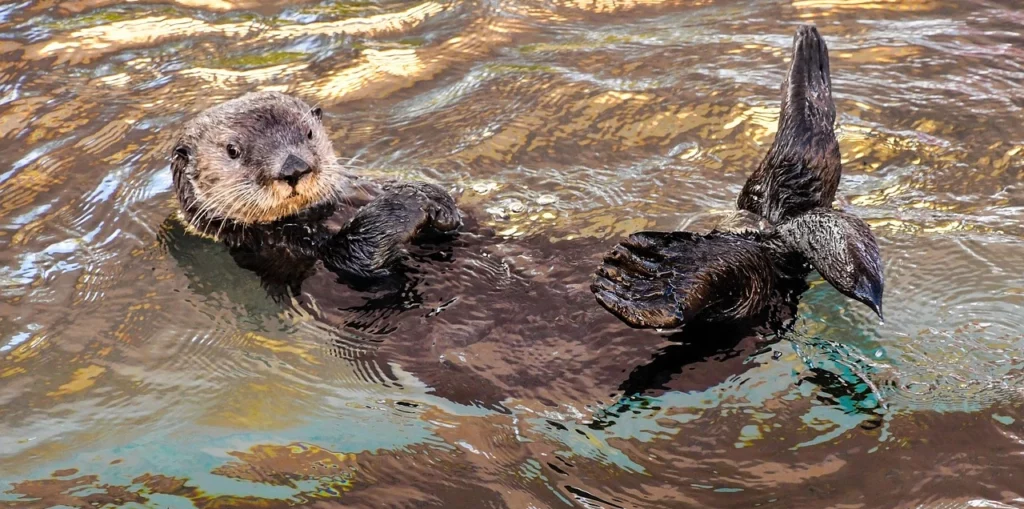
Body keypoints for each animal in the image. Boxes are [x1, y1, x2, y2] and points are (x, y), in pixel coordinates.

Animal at [170, 91, 462, 285]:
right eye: (232, 150)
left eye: (308, 133)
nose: (294, 168)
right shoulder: (287, 247)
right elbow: (356, 254)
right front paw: (407, 201)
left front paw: (435, 198)